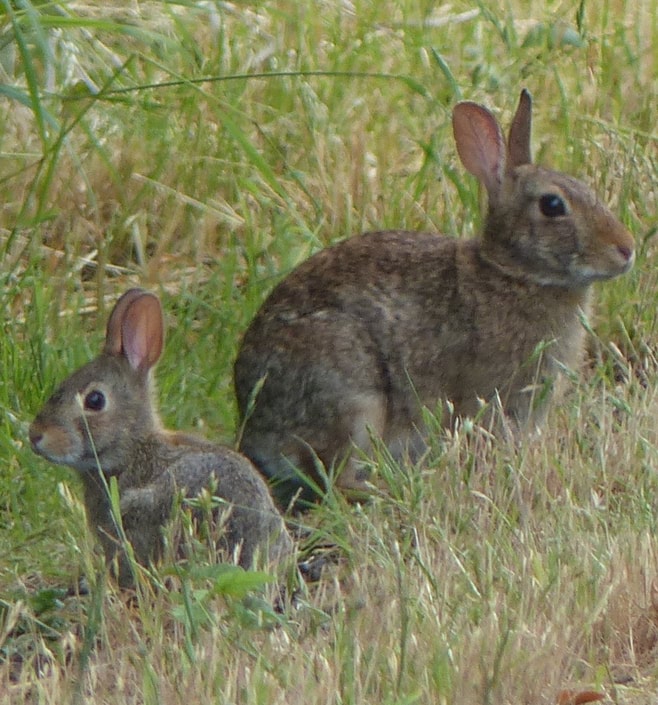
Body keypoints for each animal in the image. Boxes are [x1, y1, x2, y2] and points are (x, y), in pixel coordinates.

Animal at [233, 89, 635, 508]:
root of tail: (254, 428)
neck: (513, 273)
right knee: (335, 479)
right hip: (353, 401)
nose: (627, 249)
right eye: (552, 205)